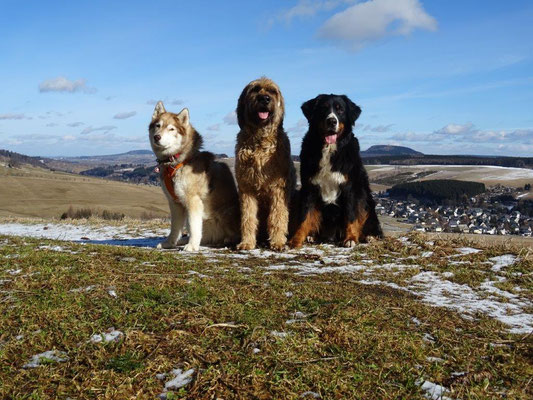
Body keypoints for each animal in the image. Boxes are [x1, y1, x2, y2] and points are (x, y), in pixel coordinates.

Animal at [148, 101, 239, 250]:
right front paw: (169, 243)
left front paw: (192, 246)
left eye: (171, 129)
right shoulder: (175, 203)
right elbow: (175, 227)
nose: (157, 137)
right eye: (158, 126)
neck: (176, 163)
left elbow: (193, 226)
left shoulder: (193, 201)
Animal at [236, 77, 298, 250]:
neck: (259, 140)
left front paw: (277, 241)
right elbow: (248, 218)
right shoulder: (247, 188)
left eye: (272, 91)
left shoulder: (278, 189)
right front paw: (247, 242)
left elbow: (277, 216)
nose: (264, 99)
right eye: (255, 89)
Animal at [286, 95, 382, 248]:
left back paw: (369, 236)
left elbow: (351, 216)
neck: (329, 149)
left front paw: (350, 238)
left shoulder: (350, 188)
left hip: (366, 199)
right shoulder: (309, 188)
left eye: (340, 110)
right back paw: (311, 236)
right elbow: (304, 217)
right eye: (323, 108)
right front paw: (296, 239)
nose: (332, 121)